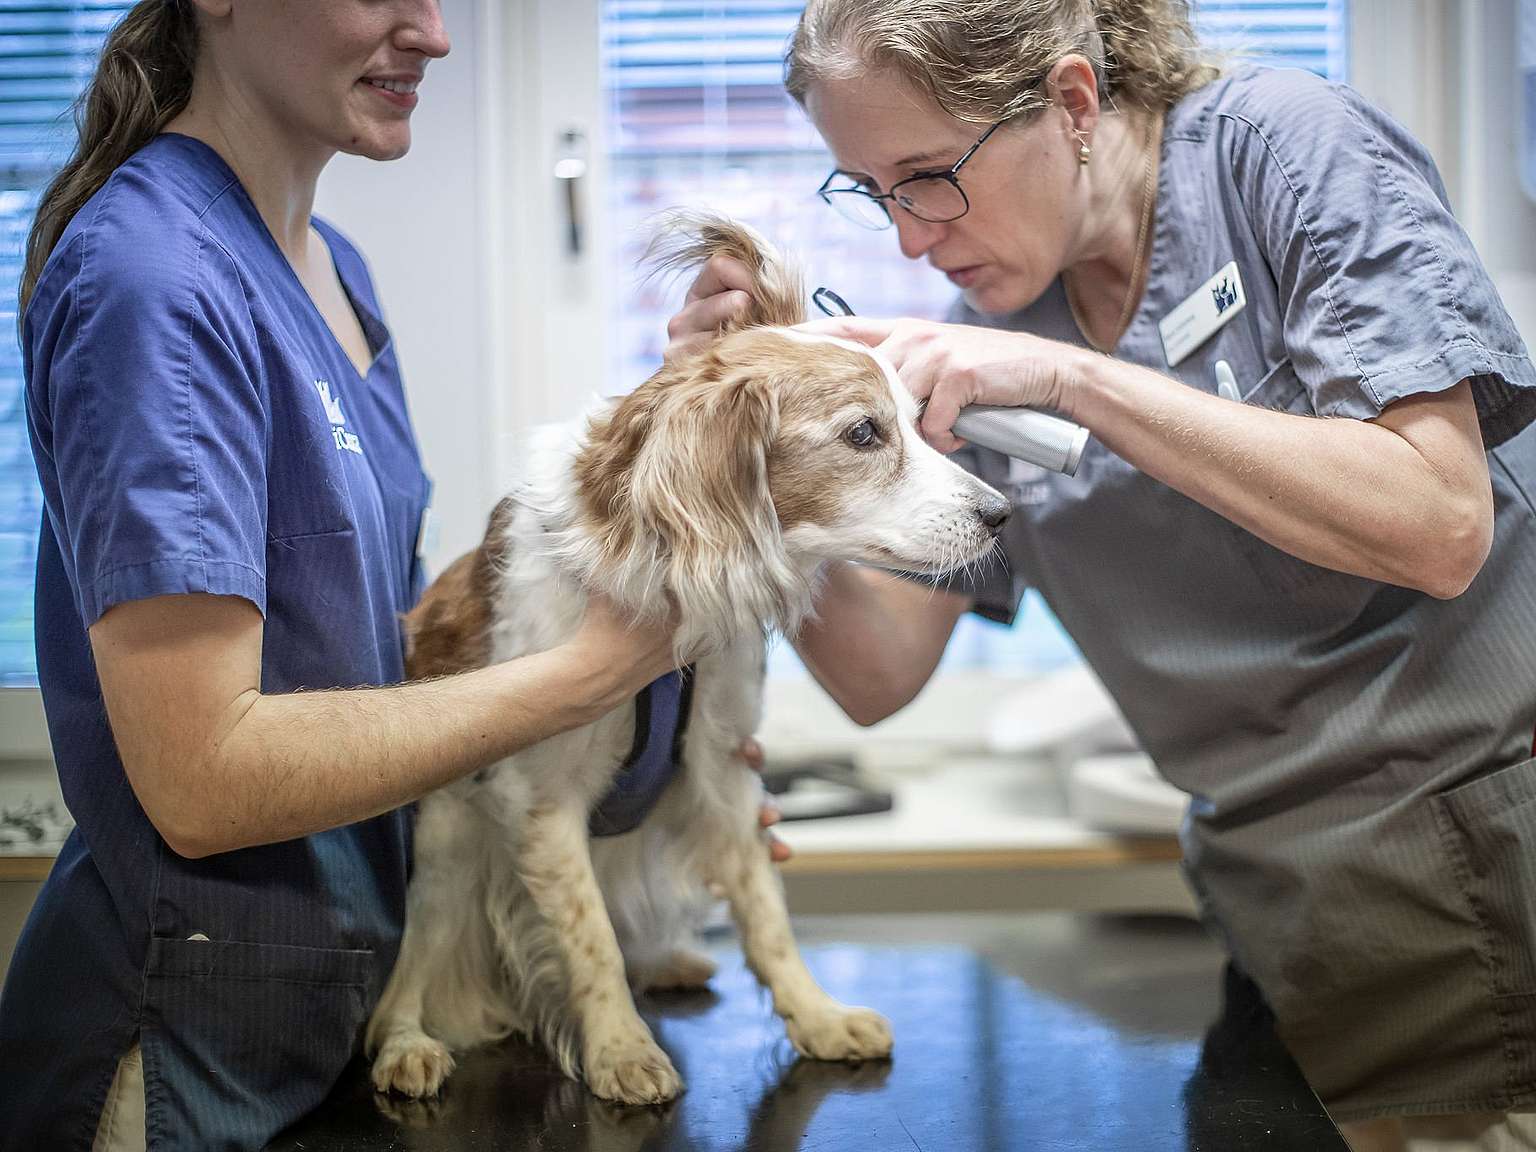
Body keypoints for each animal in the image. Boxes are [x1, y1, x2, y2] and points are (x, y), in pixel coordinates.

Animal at [359, 216, 1007, 1112]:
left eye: (918, 419)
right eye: (863, 433)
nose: (1002, 513)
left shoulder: (724, 769)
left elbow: (766, 917)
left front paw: (816, 1016)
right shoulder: (541, 802)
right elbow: (589, 940)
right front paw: (620, 1050)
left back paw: (666, 963)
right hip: (450, 838)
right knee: (410, 974)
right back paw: (408, 1044)